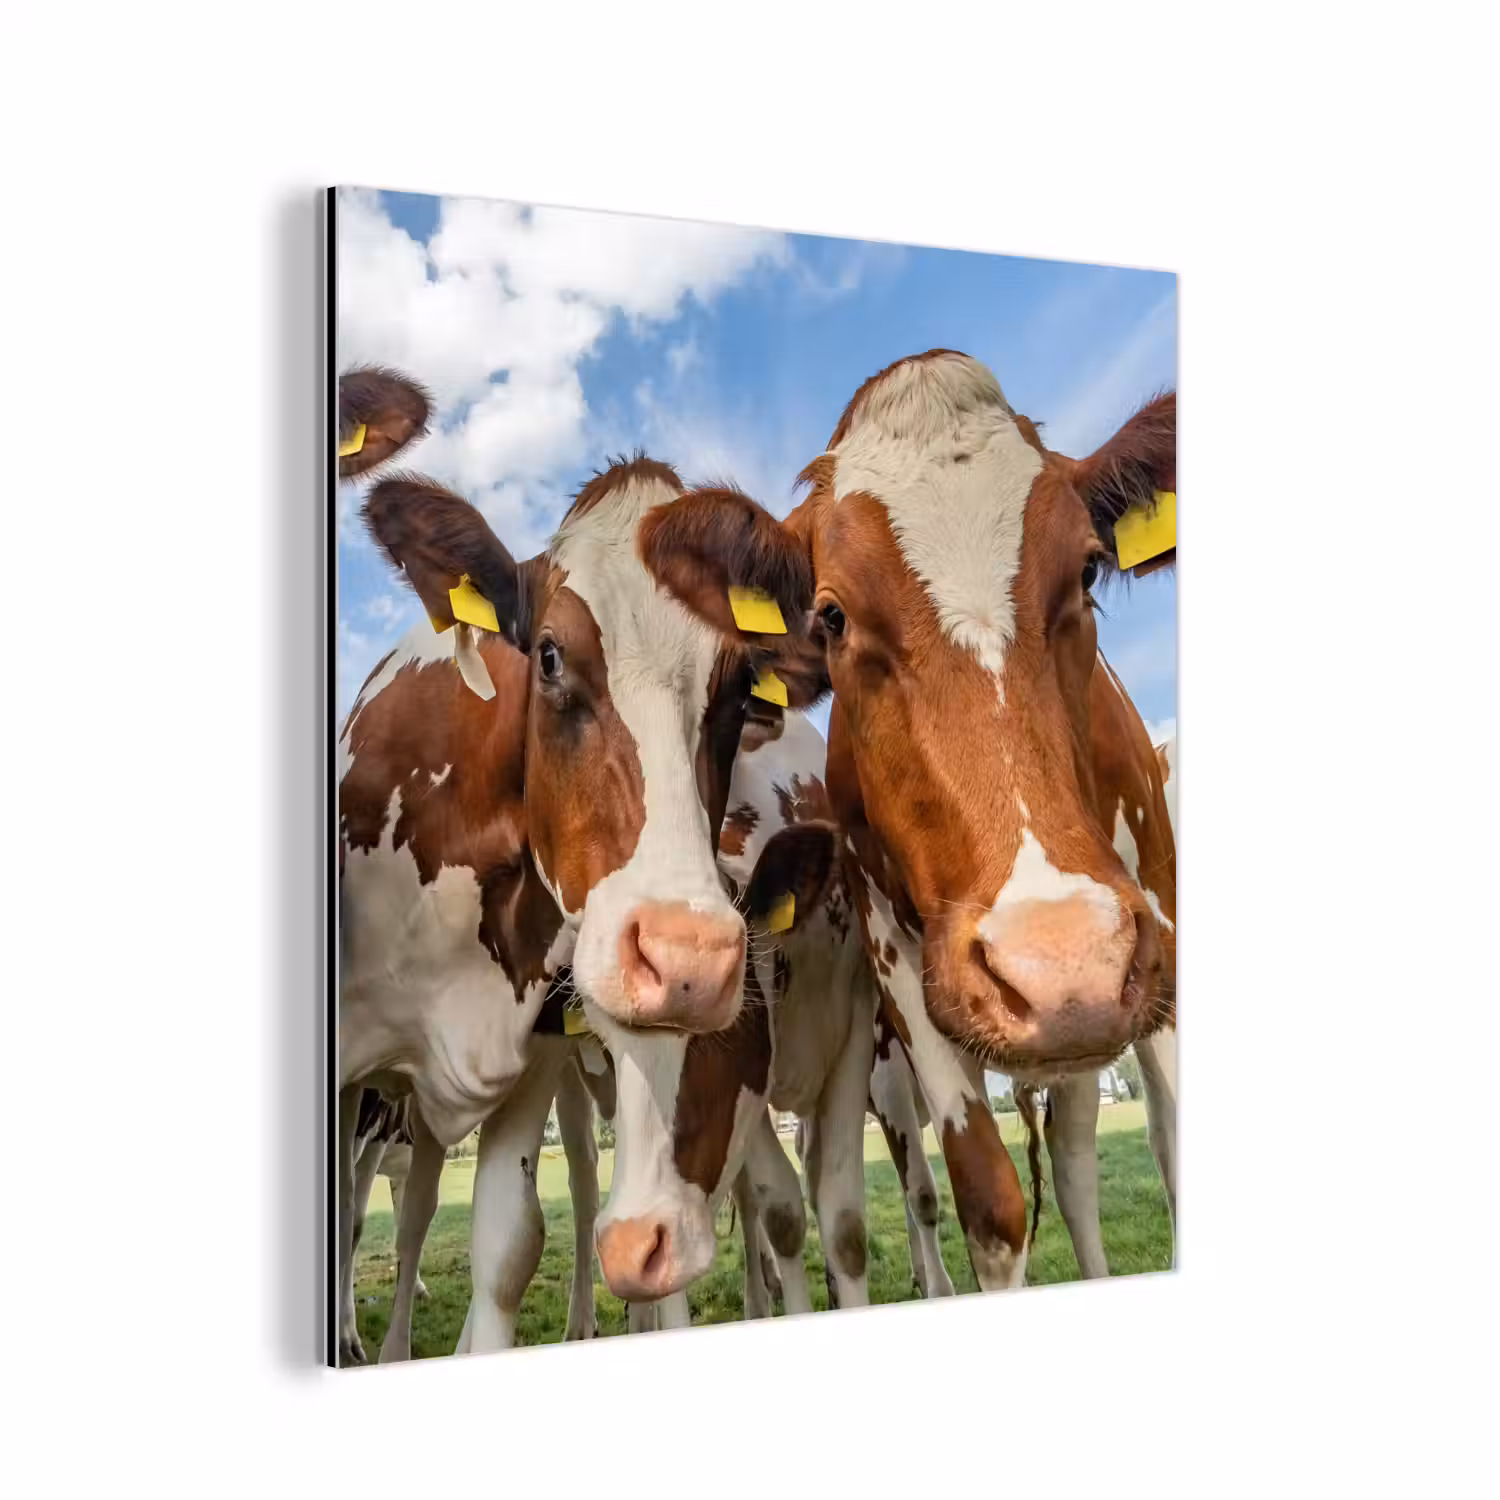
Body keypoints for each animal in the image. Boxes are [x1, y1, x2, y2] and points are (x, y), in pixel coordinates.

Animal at [638, 349, 1177, 1288]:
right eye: (832, 616)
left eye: (1084, 572)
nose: (1062, 964)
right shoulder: (898, 961)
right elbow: (990, 1206)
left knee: (1081, 1164)